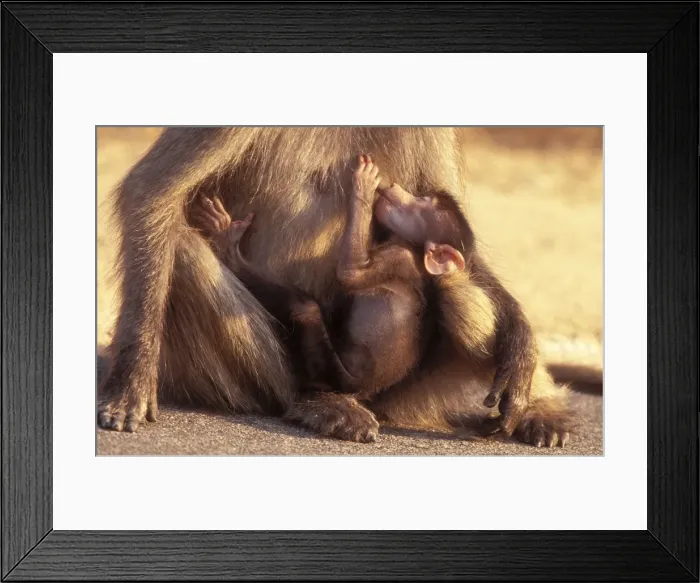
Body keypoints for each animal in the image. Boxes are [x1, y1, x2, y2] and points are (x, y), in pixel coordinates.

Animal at [97, 127, 571, 447]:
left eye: (419, 204)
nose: (396, 195)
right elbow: (154, 192)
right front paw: (132, 382)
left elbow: (460, 255)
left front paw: (520, 345)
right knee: (181, 246)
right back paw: (313, 402)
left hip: (409, 392)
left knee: (459, 290)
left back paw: (540, 409)